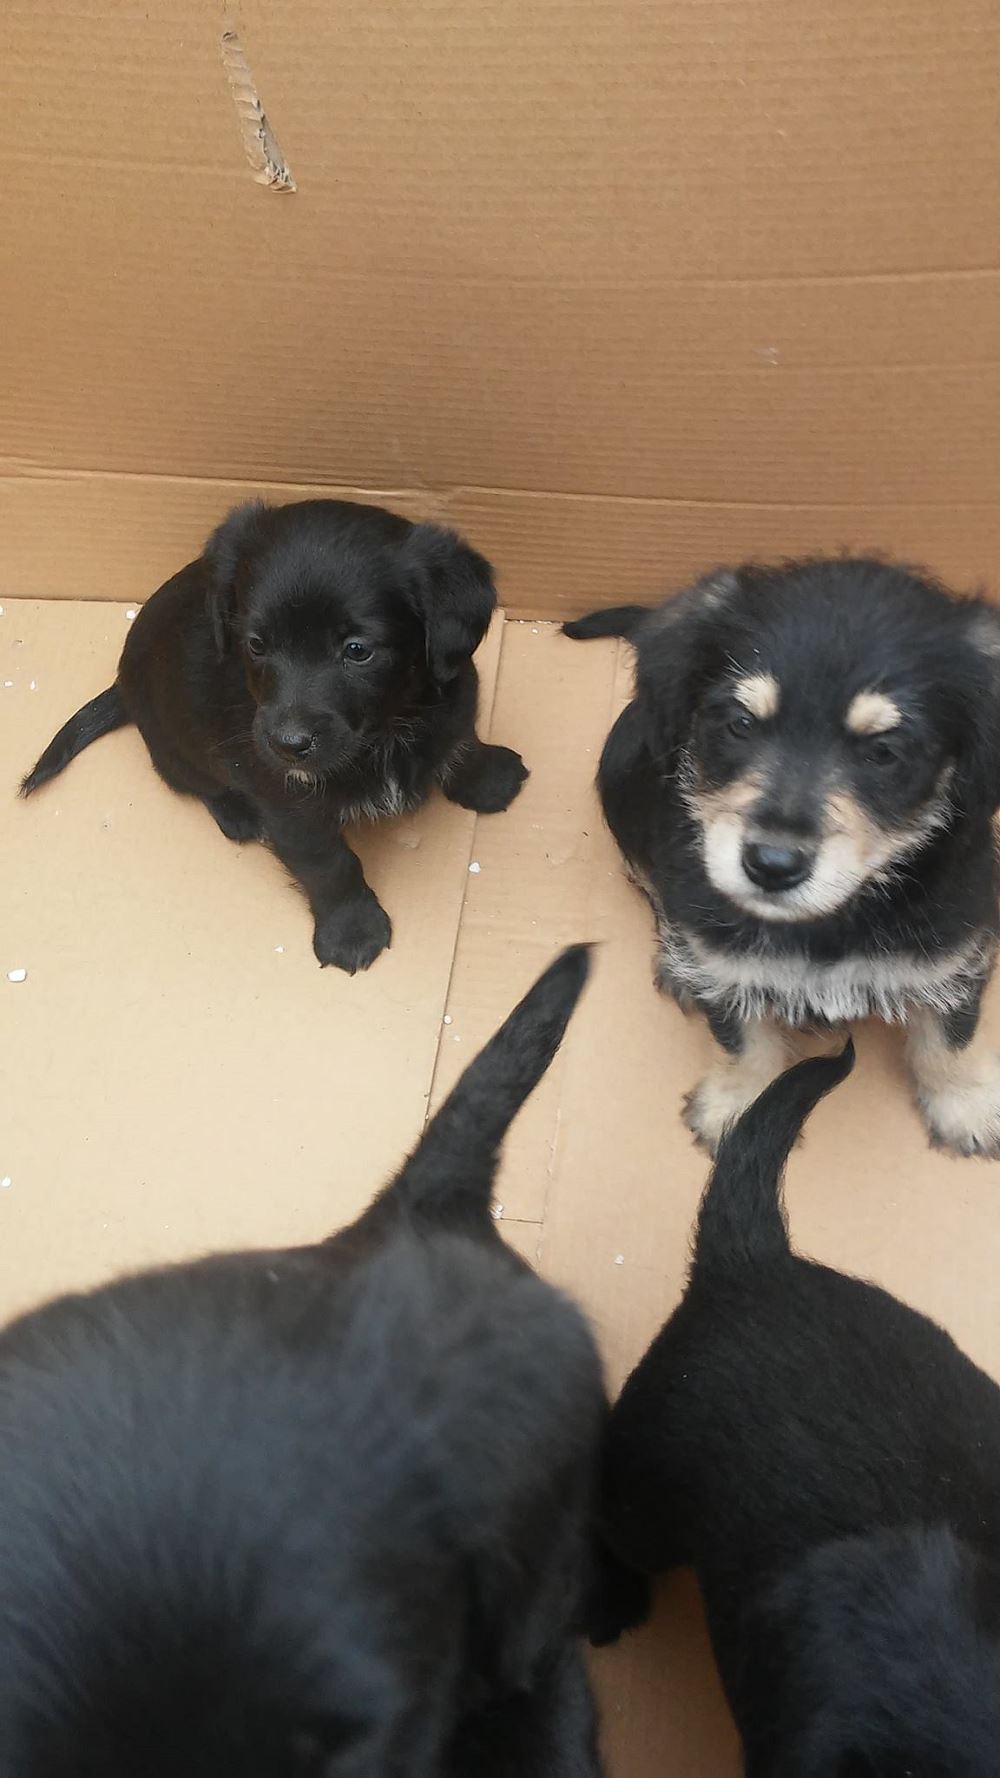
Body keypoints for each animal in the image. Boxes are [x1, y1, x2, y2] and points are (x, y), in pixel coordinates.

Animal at [21, 499, 529, 973]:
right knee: (194, 783)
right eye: (256, 644)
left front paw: (488, 777)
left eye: (357, 650)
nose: (288, 745)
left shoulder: (452, 704)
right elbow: (330, 865)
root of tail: (121, 686)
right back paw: (237, 813)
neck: (385, 731)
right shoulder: (290, 806)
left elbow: (461, 741)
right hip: (175, 748)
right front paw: (352, 930)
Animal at [565, 557, 1000, 1156]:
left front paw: (967, 1105)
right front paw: (739, 1108)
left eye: (884, 752)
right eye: (740, 723)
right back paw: (675, 962)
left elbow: (950, 1036)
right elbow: (742, 1042)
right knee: (652, 888)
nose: (771, 865)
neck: (829, 923)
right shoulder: (727, 970)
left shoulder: (953, 954)